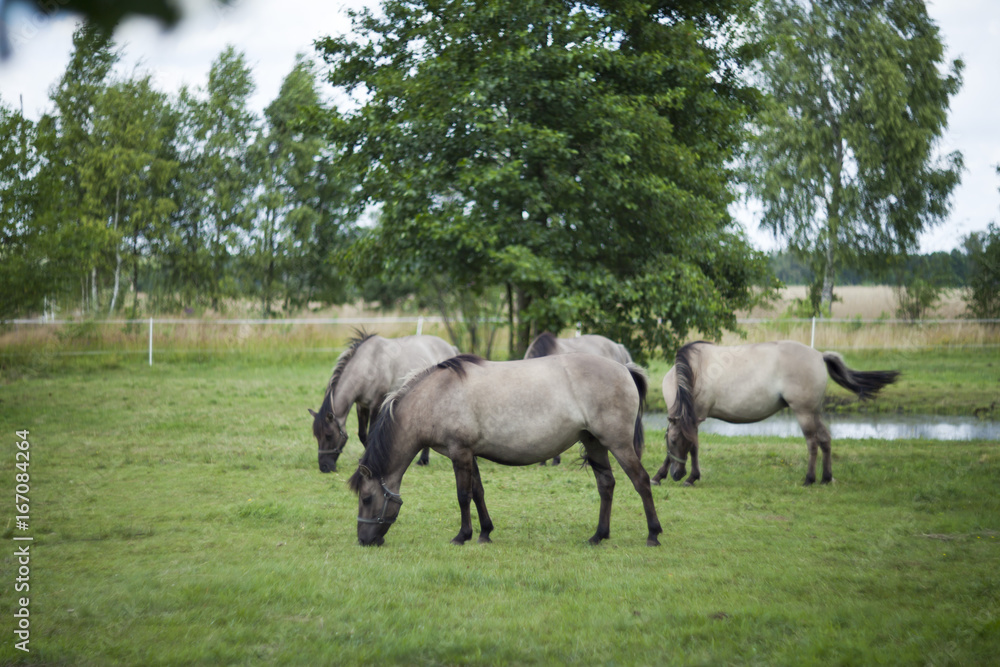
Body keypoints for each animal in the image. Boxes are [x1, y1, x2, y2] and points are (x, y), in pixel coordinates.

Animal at [308, 332, 458, 472]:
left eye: (328, 436)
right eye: (316, 436)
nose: (324, 467)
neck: (368, 365)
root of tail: (450, 347)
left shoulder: (376, 404)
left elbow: (370, 434)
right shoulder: (361, 406)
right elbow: (362, 435)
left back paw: (424, 460)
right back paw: (423, 460)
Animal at [346, 354, 664, 548]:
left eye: (366, 498)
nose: (363, 539)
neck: (435, 397)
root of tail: (624, 368)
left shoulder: (460, 453)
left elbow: (463, 496)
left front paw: (462, 535)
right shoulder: (469, 454)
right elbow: (478, 493)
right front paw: (485, 532)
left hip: (617, 443)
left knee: (641, 481)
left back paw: (653, 533)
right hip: (594, 442)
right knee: (606, 485)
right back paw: (599, 535)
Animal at [652, 342, 904, 488]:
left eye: (672, 441)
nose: (677, 474)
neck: (694, 370)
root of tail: (819, 355)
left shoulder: (695, 418)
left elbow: (694, 447)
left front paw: (686, 477)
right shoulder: (690, 420)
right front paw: (666, 476)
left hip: (804, 412)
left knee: (812, 443)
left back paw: (809, 479)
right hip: (814, 412)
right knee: (825, 439)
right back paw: (826, 477)